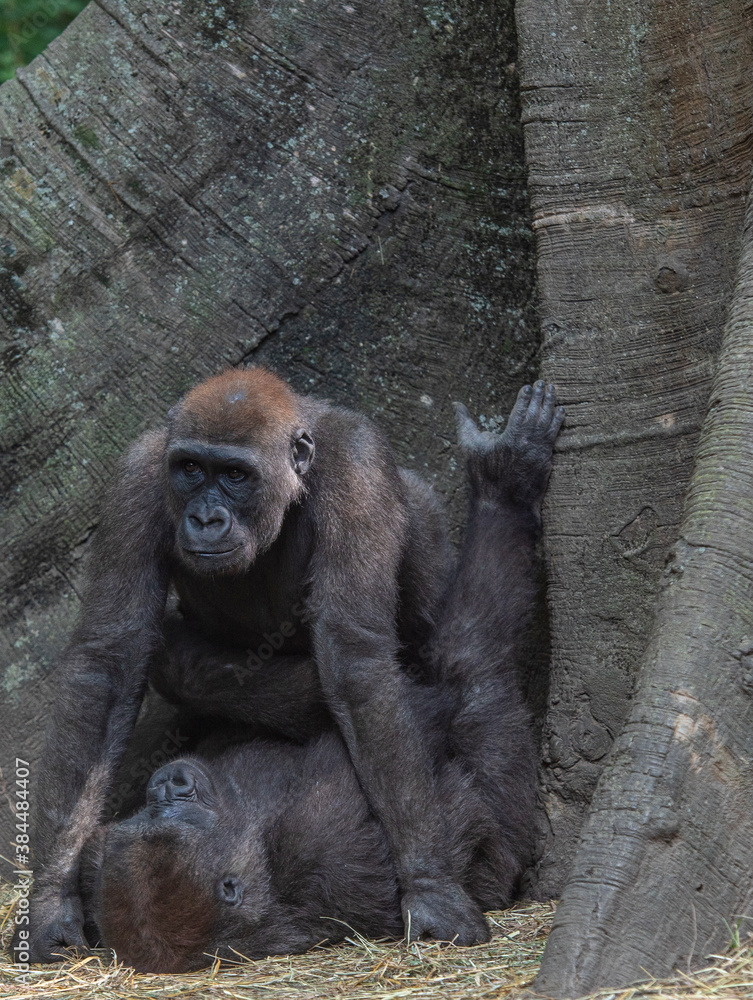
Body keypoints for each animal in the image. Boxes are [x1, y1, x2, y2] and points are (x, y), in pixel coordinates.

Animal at [78, 382, 564, 968]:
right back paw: (504, 484)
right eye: (190, 470)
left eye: (232, 475)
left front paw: (48, 904)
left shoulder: (353, 465)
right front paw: (432, 881)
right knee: (472, 659)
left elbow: (113, 666)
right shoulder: (314, 836)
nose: (168, 784)